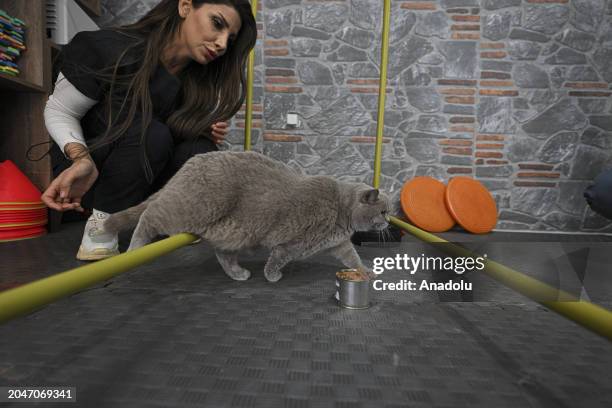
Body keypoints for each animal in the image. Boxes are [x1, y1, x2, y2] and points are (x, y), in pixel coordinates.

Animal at [100, 151, 388, 282]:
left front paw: (366, 271)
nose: (387, 221)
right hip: (191, 208)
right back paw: (132, 251)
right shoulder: (294, 244)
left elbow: (353, 257)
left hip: (233, 231)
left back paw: (238, 273)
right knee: (149, 216)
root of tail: (190, 162)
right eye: (383, 211)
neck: (342, 211)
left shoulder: (339, 244)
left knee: (222, 254)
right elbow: (279, 257)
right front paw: (272, 276)